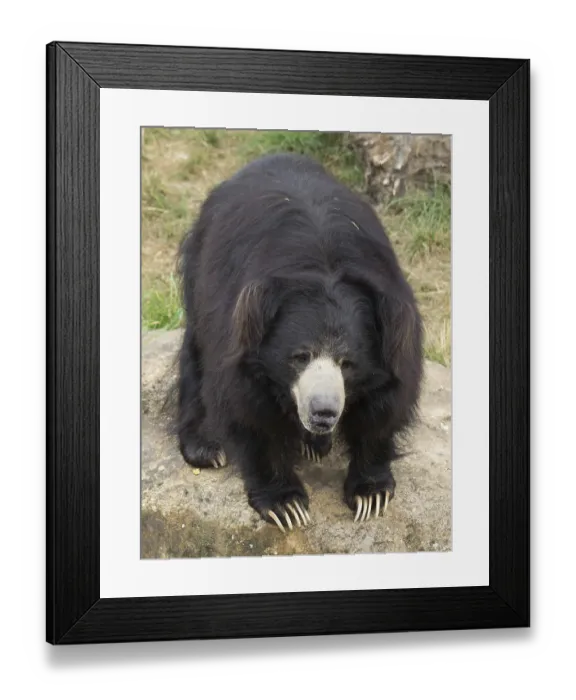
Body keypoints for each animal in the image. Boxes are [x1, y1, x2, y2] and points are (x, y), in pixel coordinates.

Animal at [175, 152, 423, 532]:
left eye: (348, 364)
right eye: (300, 356)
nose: (323, 413)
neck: (324, 264)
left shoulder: (396, 330)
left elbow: (384, 405)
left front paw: (370, 494)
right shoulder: (238, 326)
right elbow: (249, 410)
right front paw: (286, 505)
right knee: (195, 357)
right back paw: (205, 447)